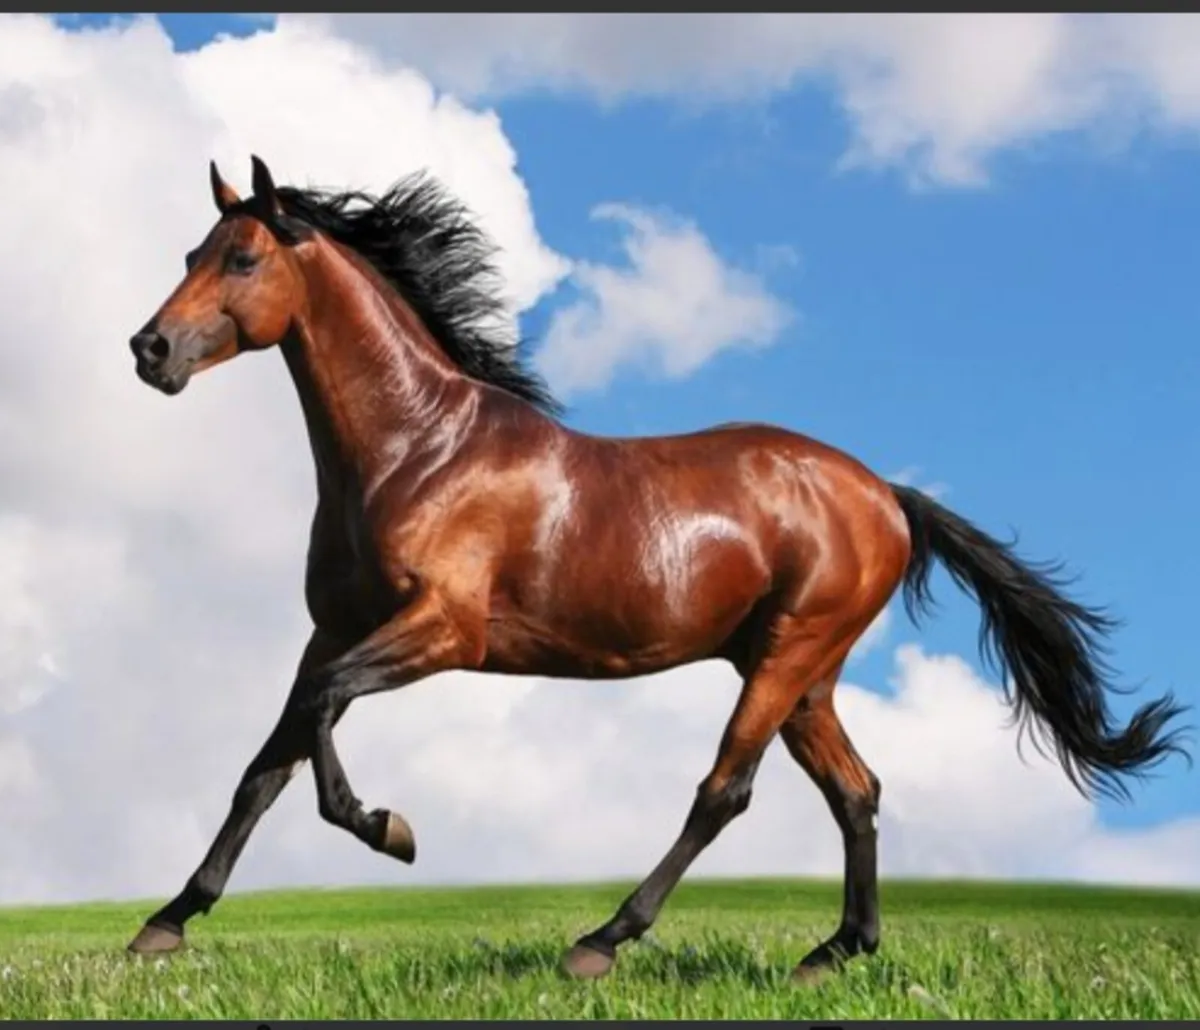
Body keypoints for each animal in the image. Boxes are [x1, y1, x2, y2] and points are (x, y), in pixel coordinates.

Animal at [123, 156, 1190, 982]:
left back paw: (602, 940)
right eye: (189, 256)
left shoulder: (441, 631)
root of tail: (885, 494)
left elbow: (319, 723)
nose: (149, 348)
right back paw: (833, 953)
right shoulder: (332, 629)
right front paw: (165, 923)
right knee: (856, 790)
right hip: (804, 673)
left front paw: (390, 828)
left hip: (788, 655)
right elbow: (268, 762)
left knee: (726, 789)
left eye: (243, 257)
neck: (414, 451)